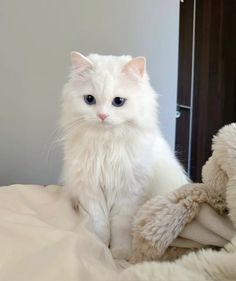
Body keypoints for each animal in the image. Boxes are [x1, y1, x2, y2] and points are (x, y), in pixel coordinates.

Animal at [61, 52, 188, 258]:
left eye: (118, 102)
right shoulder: (91, 191)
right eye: (89, 99)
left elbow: (120, 227)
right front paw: (100, 249)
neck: (106, 145)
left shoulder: (128, 194)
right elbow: (100, 227)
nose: (102, 116)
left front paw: (120, 254)